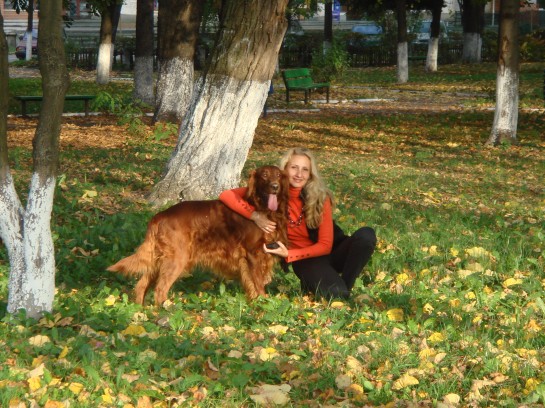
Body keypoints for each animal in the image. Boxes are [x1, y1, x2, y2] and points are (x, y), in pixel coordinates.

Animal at [108, 165, 288, 306]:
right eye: (264, 175)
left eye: (278, 175)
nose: (275, 186)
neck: (260, 207)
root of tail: (160, 215)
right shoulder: (253, 254)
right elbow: (258, 284)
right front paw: (263, 303)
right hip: (177, 258)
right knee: (160, 289)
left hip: (158, 259)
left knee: (141, 285)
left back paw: (140, 311)